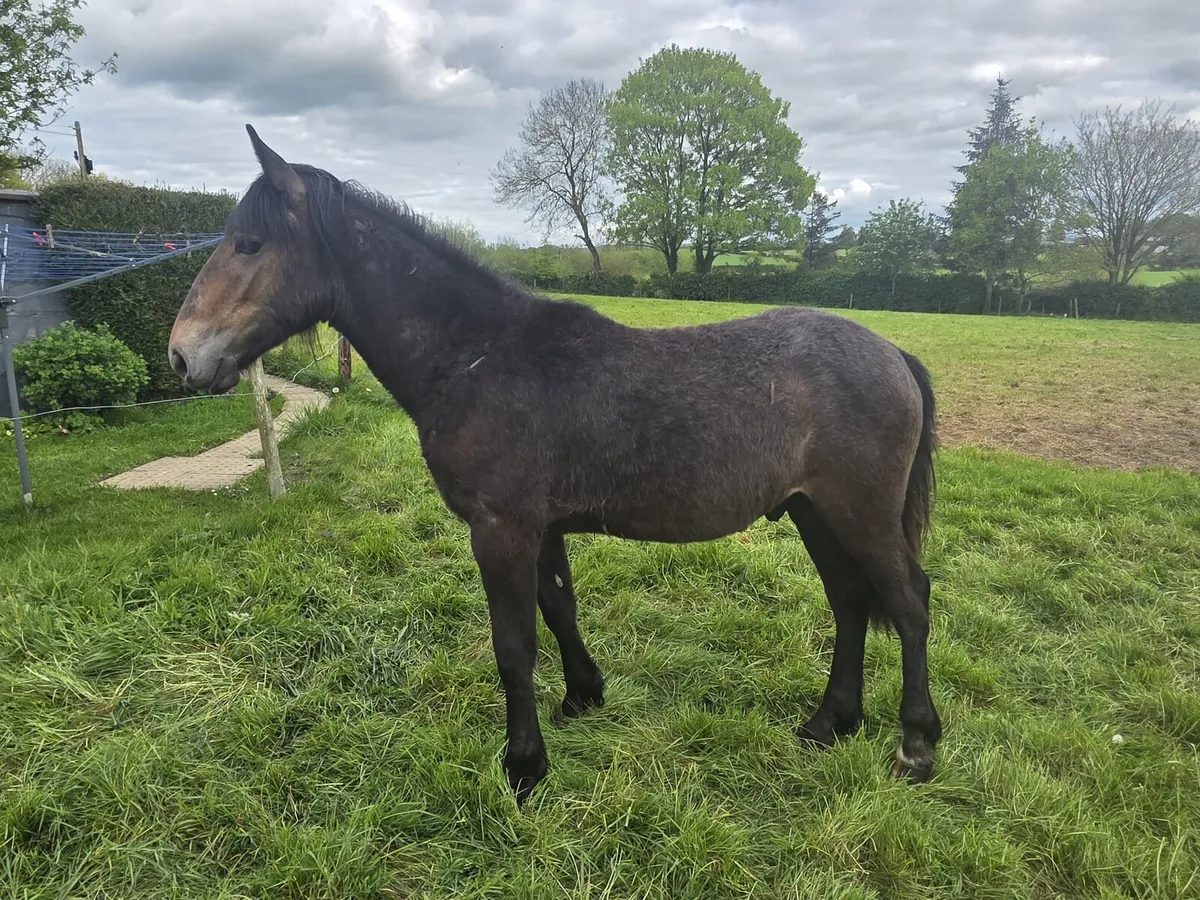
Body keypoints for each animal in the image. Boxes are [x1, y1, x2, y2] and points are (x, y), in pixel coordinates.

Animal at [168, 125, 943, 803]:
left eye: (249, 243)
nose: (181, 355)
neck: (478, 357)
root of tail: (895, 354)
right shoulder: (539, 527)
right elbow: (559, 606)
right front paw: (583, 696)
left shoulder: (500, 529)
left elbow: (514, 645)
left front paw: (524, 767)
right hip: (816, 512)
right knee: (850, 603)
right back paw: (830, 723)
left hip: (859, 513)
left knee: (908, 601)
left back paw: (916, 746)